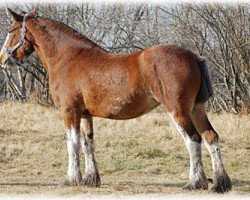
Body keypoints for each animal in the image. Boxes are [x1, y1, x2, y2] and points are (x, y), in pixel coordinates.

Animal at [0, 8, 232, 193]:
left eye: (11, 30)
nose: (3, 59)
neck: (69, 57)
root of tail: (193, 56)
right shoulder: (85, 114)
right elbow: (87, 143)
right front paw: (90, 179)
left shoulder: (70, 111)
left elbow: (72, 143)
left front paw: (71, 179)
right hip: (196, 109)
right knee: (211, 137)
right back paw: (220, 184)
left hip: (178, 111)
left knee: (193, 139)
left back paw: (195, 183)